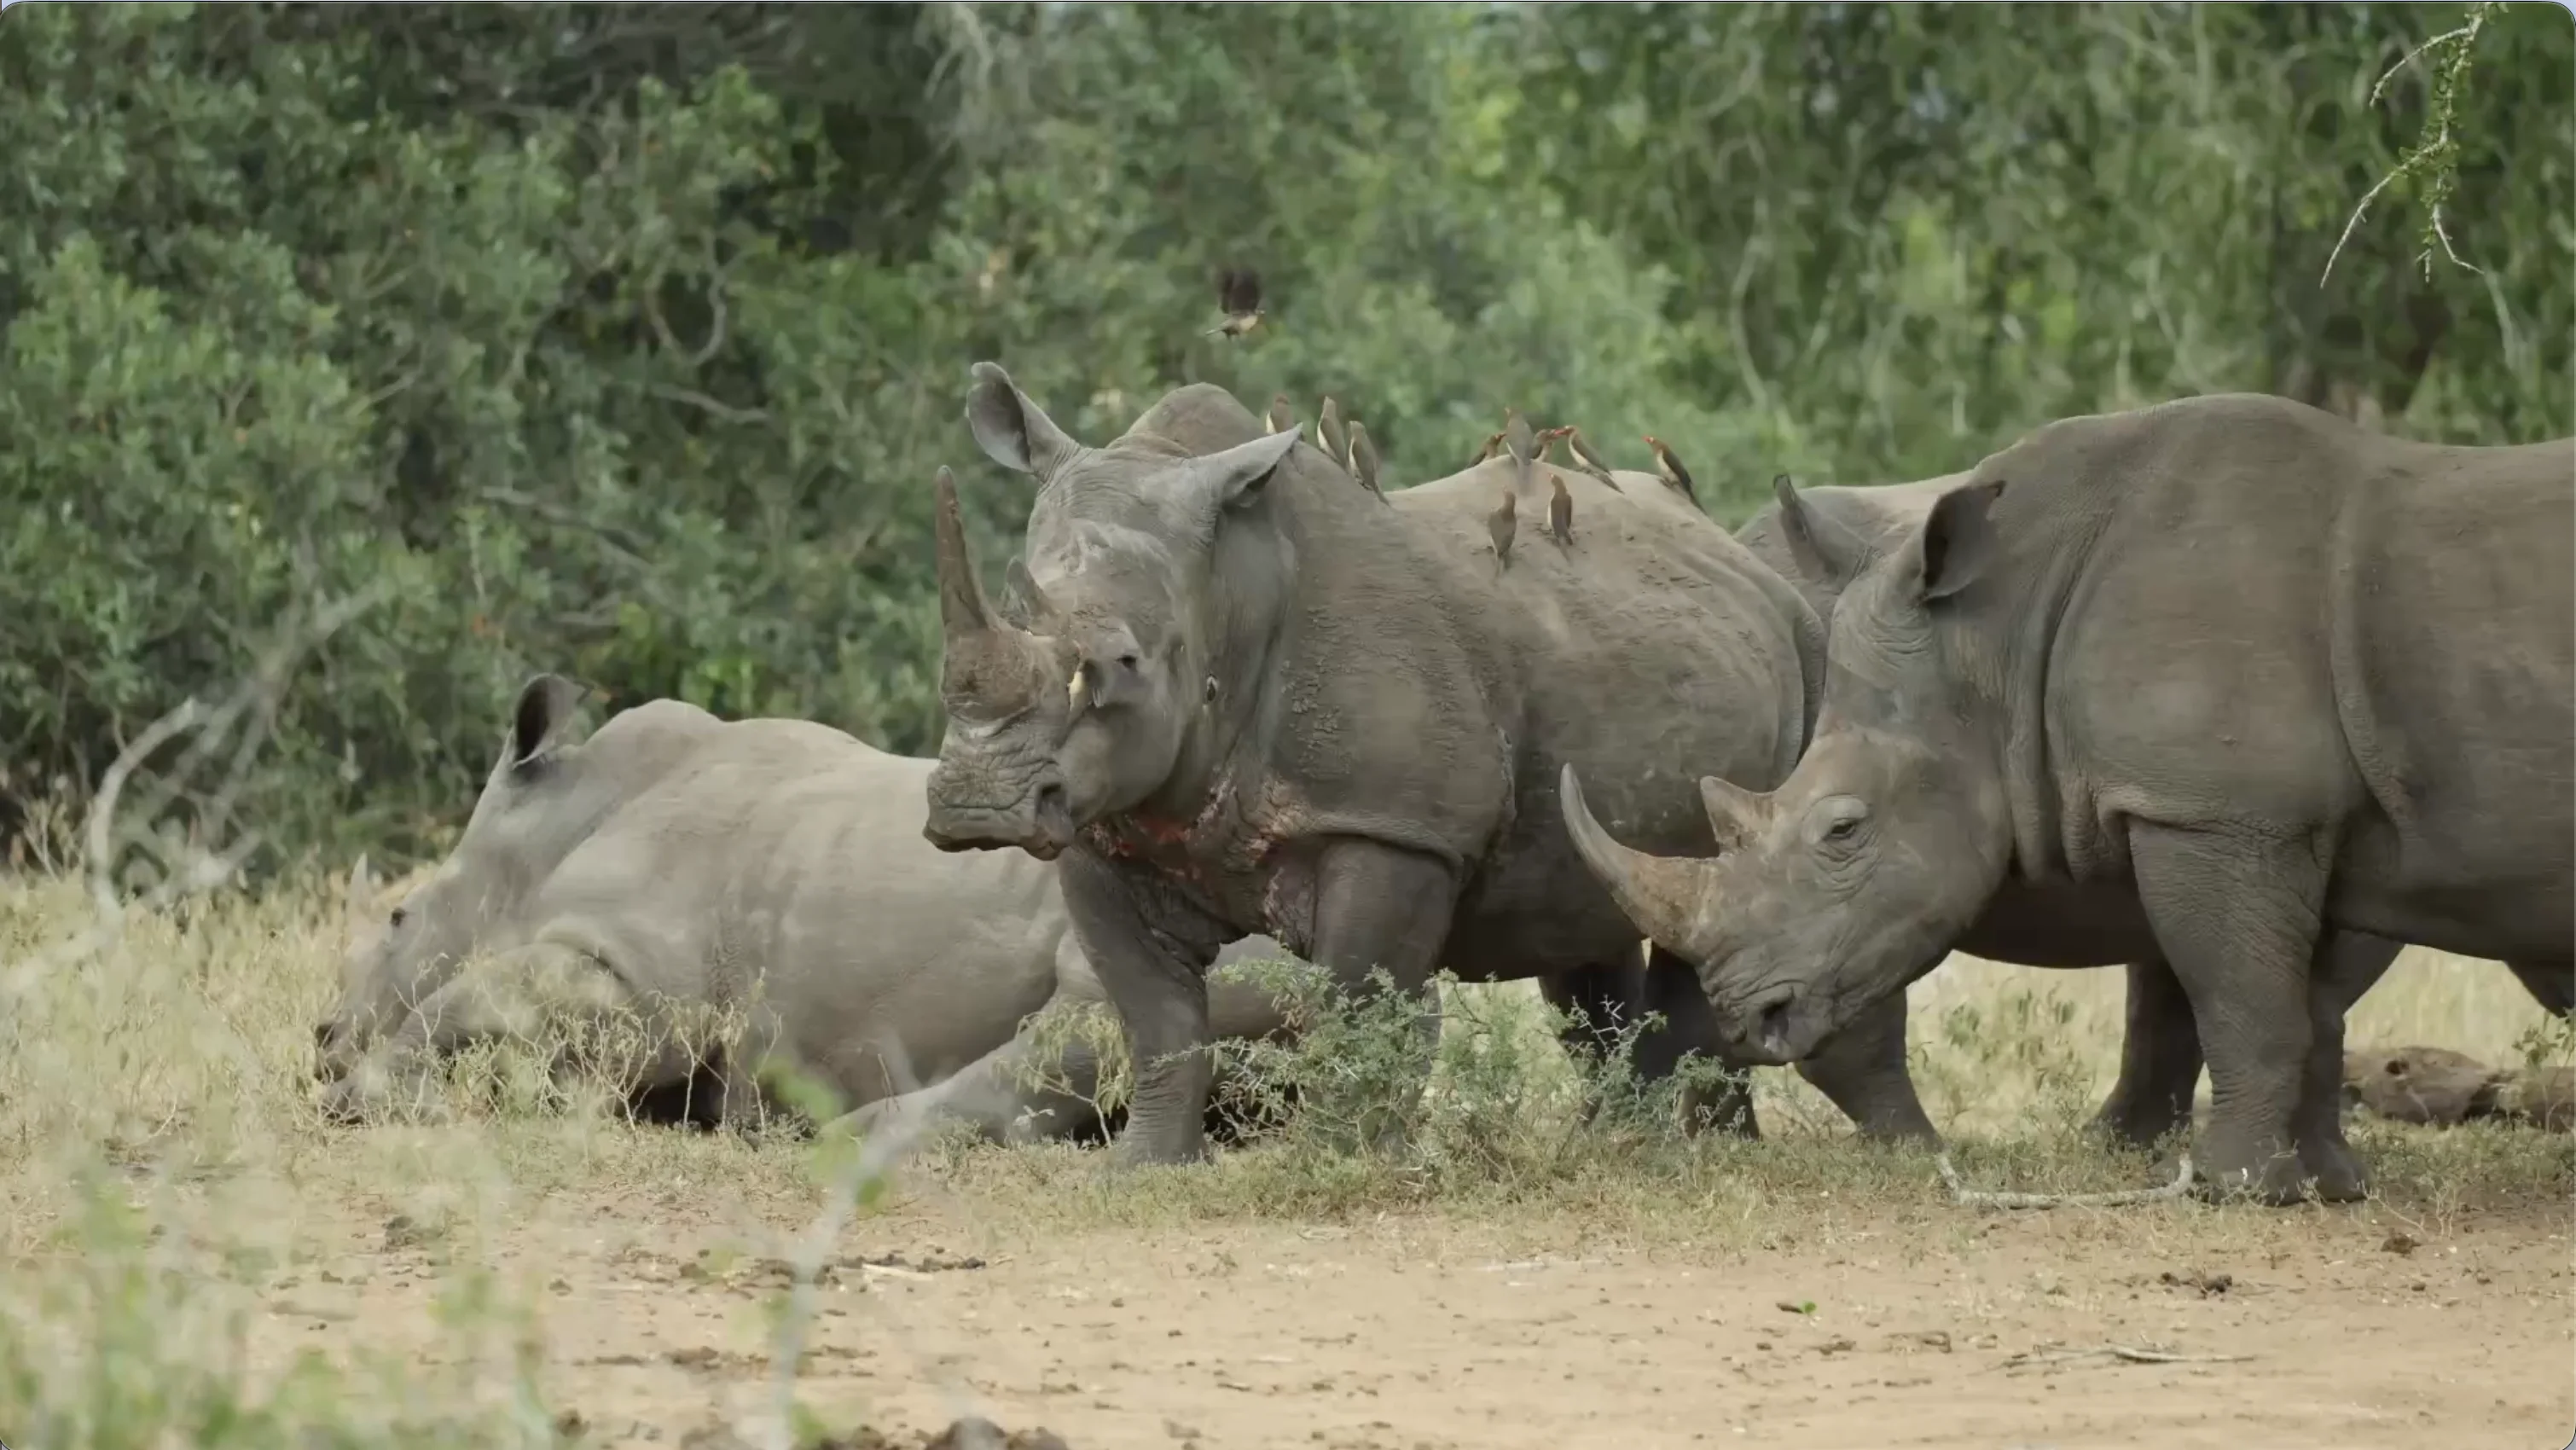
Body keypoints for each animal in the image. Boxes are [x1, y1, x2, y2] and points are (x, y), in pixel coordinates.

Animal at [915, 364, 1937, 1166]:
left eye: (1122, 665)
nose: (976, 805)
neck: (1223, 596)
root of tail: (1741, 556)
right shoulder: (1102, 827)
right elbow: (1156, 1018)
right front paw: (1146, 1171)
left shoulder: (1391, 826)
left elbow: (1360, 1000)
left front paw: (1342, 1158)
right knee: (1592, 937)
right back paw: (1632, 1146)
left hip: (1815, 651)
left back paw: (1667, 1153)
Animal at [1565, 393, 2574, 1202]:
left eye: (1842, 830)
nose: (1752, 1012)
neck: (1995, 638)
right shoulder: (2241, 812)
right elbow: (2268, 999)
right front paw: (2276, 1184)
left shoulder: (2239, 812)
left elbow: (2260, 999)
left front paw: (2269, 1184)